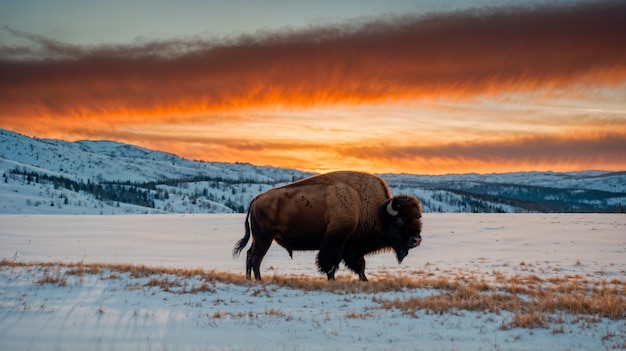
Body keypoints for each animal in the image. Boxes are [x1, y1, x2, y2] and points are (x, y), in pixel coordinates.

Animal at [232, 172, 422, 282]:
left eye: (418, 217)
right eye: (401, 219)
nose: (416, 239)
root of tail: (256, 200)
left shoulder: (351, 246)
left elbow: (359, 265)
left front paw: (364, 280)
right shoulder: (336, 240)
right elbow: (331, 262)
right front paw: (332, 279)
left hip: (260, 238)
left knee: (250, 255)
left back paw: (250, 279)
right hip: (264, 238)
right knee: (256, 258)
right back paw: (259, 280)